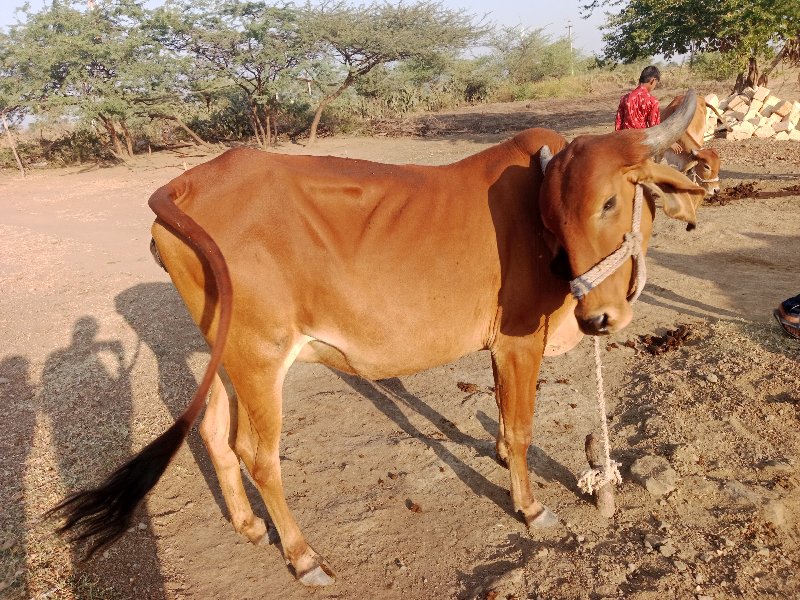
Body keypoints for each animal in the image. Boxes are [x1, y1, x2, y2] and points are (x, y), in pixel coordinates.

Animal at [50, 94, 704, 584]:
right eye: (552, 220)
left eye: (611, 202)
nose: (597, 318)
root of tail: (186, 185)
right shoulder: (519, 342)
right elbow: (520, 428)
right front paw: (531, 507)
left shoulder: (502, 349)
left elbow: (502, 417)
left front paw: (496, 455)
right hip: (260, 358)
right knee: (256, 454)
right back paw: (303, 557)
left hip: (225, 352)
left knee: (212, 431)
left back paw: (249, 526)